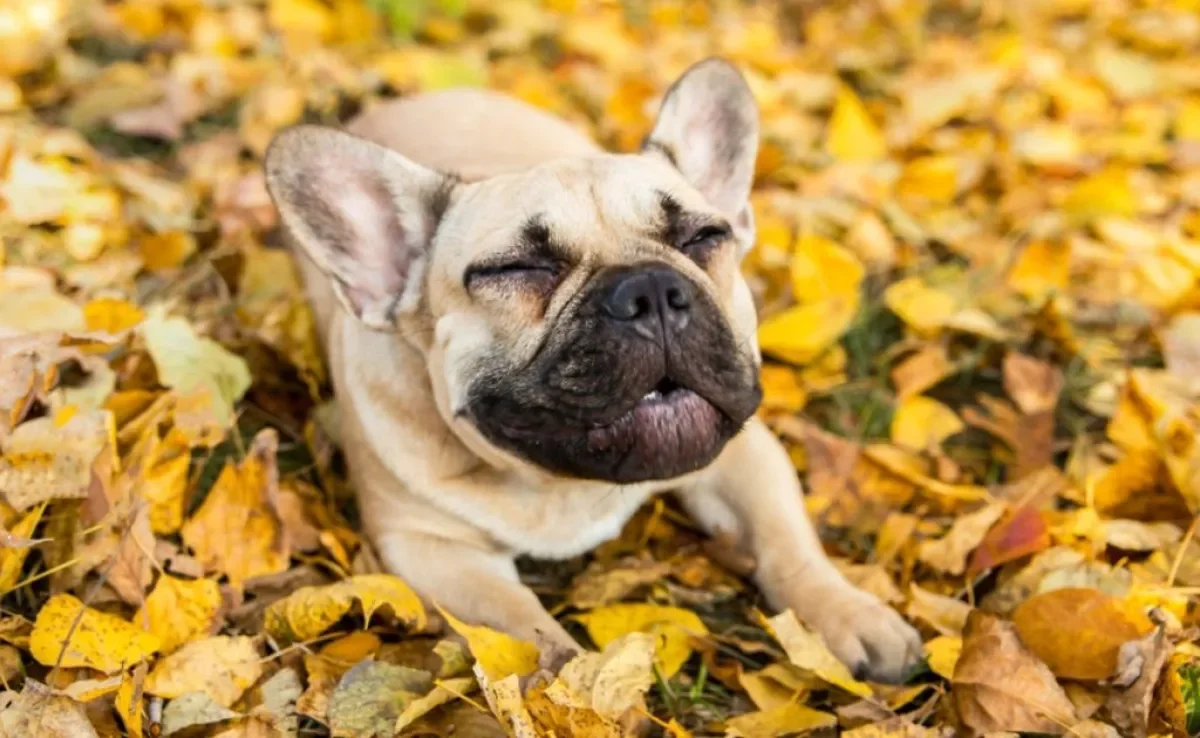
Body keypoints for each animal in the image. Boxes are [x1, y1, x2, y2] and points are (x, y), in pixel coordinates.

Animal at [262, 59, 916, 686]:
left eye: (704, 237)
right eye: (517, 269)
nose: (650, 290)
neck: (565, 486)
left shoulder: (746, 456)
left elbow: (786, 541)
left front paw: (848, 612)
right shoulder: (431, 547)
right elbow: (518, 627)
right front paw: (571, 687)